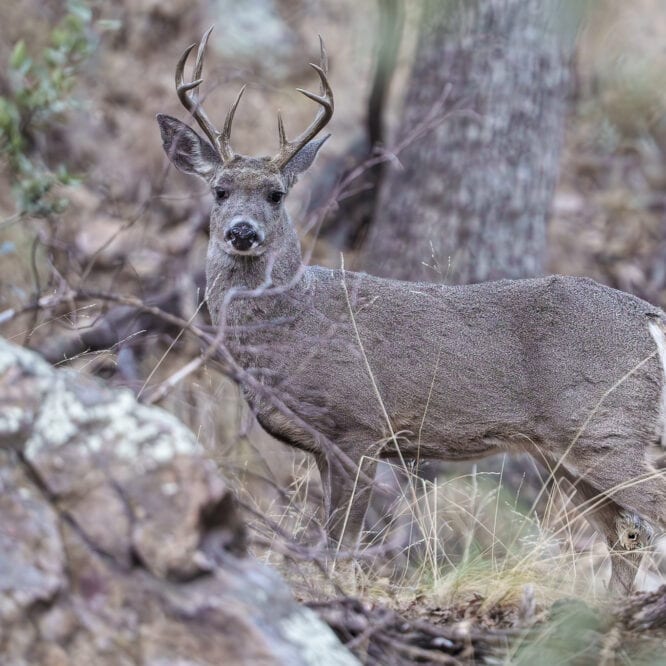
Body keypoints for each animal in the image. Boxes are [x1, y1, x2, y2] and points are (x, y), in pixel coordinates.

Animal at [157, 27, 666, 594]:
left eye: (276, 194)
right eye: (219, 190)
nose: (242, 232)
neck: (294, 324)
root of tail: (647, 315)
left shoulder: (360, 425)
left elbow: (341, 539)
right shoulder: (321, 444)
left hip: (603, 425)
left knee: (648, 513)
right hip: (564, 450)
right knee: (626, 532)